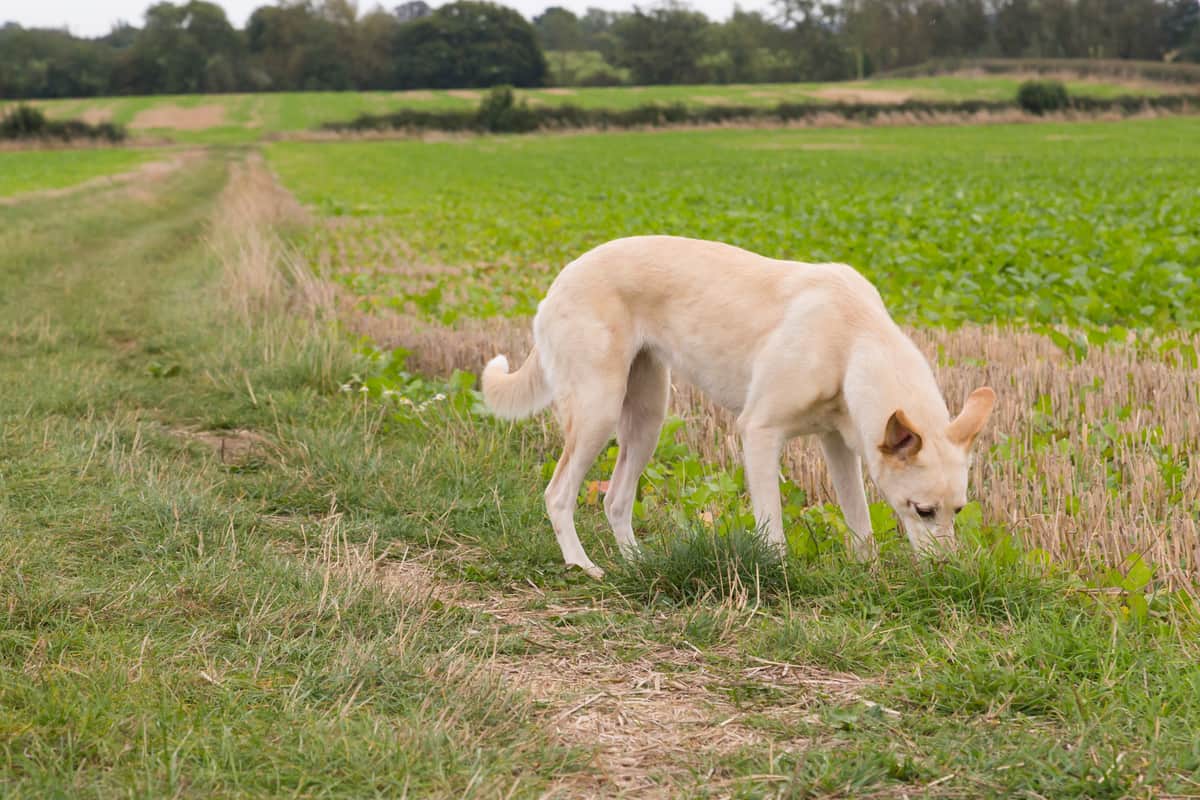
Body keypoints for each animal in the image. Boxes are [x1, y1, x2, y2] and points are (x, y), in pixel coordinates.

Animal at [477, 235, 993, 578]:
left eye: (959, 510)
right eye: (922, 510)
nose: (947, 572)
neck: (853, 337)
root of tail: (561, 279)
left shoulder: (838, 446)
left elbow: (860, 521)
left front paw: (869, 573)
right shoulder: (759, 434)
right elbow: (773, 524)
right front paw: (780, 576)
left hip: (647, 419)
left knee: (615, 499)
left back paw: (638, 562)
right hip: (597, 413)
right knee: (558, 494)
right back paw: (581, 564)